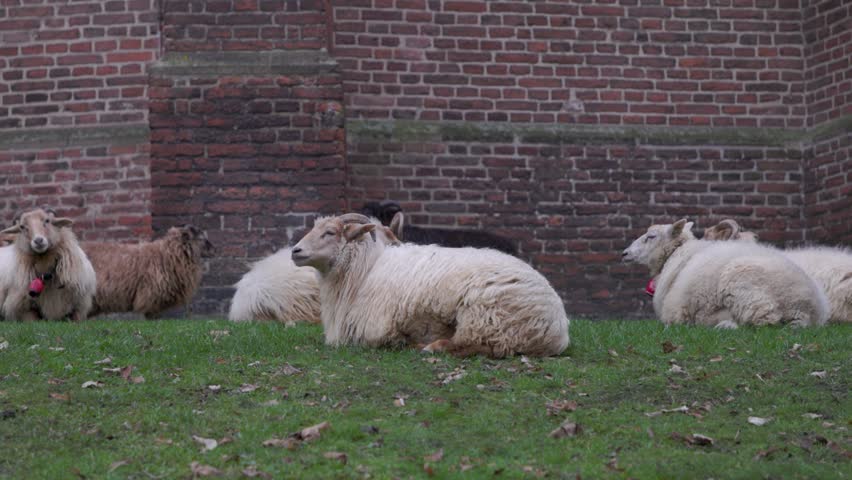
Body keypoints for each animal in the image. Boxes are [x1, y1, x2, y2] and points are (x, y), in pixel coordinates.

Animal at [291, 213, 570, 358]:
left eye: (330, 233)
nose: (295, 251)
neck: (366, 268)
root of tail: (558, 327)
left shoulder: (374, 330)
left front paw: (404, 342)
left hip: (485, 315)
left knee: (478, 346)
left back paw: (430, 346)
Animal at [622, 219, 829, 328]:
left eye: (651, 236)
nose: (624, 253)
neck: (676, 253)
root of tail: (807, 309)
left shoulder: (675, 313)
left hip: (746, 288)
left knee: (763, 323)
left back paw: (722, 324)